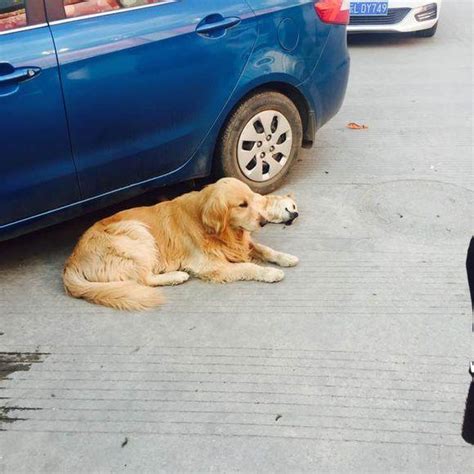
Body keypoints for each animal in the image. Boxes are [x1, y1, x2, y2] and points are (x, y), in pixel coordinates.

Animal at [63, 178, 298, 312]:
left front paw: (286, 258)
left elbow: (266, 250)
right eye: (242, 205)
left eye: (252, 199)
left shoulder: (240, 244)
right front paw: (270, 273)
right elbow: (249, 267)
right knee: (144, 279)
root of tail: (71, 262)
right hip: (135, 230)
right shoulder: (212, 266)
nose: (263, 222)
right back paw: (177, 276)